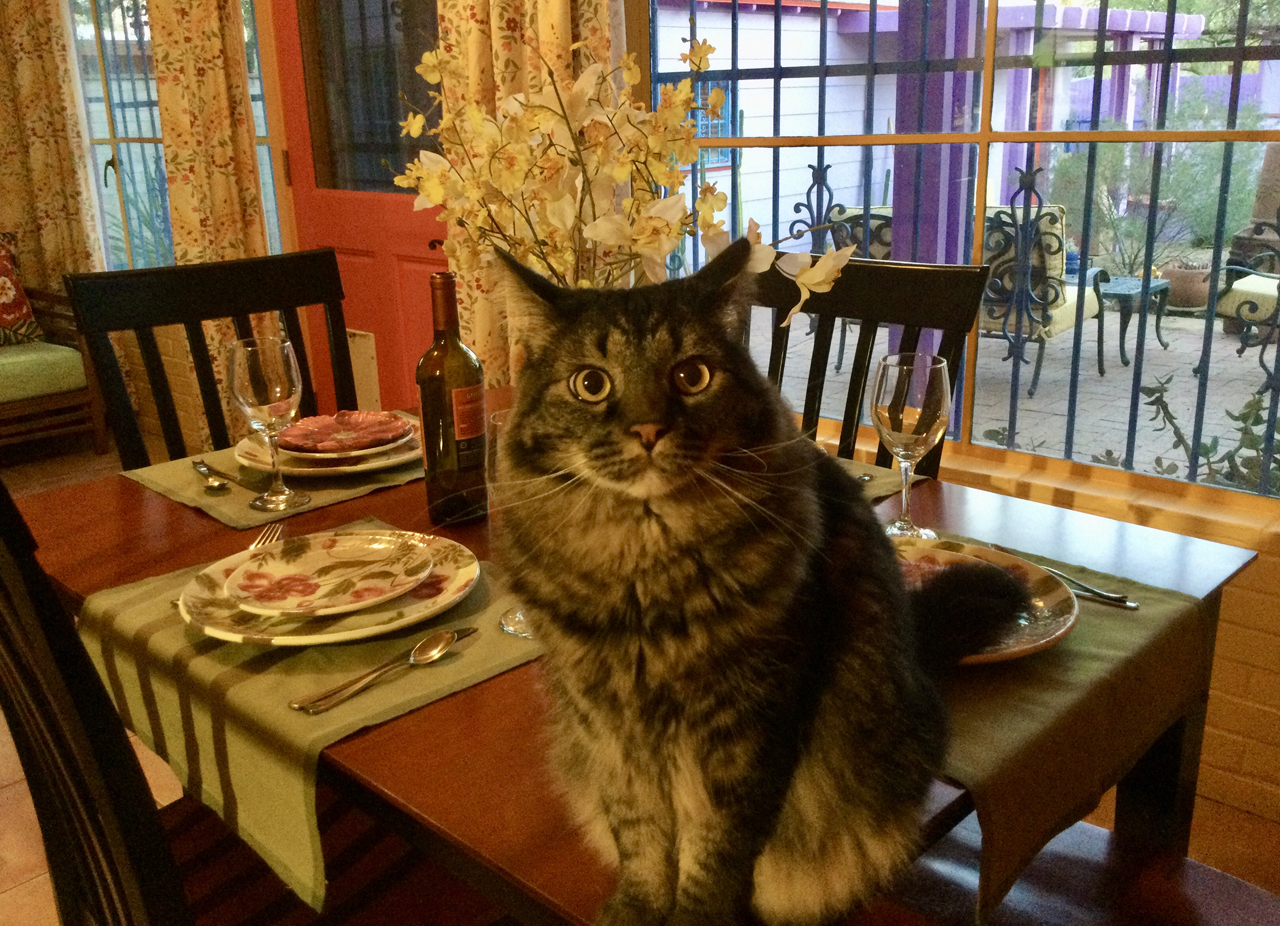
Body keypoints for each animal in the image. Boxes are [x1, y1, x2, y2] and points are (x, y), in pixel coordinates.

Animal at [488, 240, 1029, 926]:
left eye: (692, 376)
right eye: (591, 384)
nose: (647, 430)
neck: (642, 572)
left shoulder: (745, 724)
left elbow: (715, 847)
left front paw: (698, 916)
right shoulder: (608, 727)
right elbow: (640, 837)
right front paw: (636, 908)